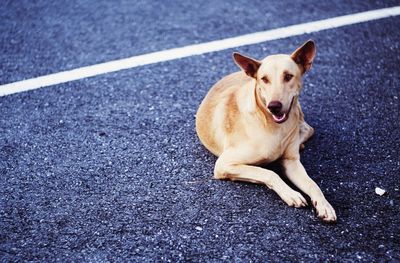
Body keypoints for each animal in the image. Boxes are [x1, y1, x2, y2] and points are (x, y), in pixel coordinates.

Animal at [197, 39, 338, 223]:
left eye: (288, 76)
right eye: (264, 79)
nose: (274, 106)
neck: (273, 125)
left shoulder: (292, 163)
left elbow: (313, 184)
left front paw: (324, 205)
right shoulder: (224, 164)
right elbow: (269, 173)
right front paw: (291, 193)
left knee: (308, 128)